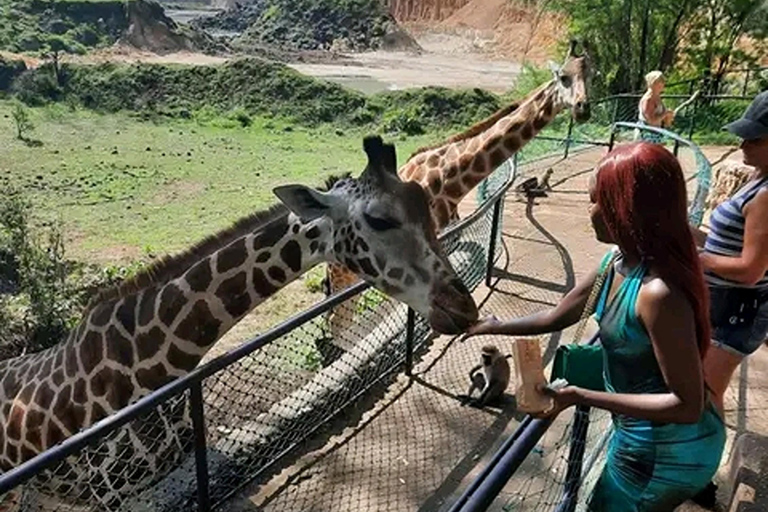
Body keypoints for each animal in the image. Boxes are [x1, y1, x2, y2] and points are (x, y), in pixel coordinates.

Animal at [324, 40, 592, 340]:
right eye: (563, 77)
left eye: (592, 75)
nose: (583, 109)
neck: (449, 181)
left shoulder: (446, 241)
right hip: (345, 272)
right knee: (338, 319)